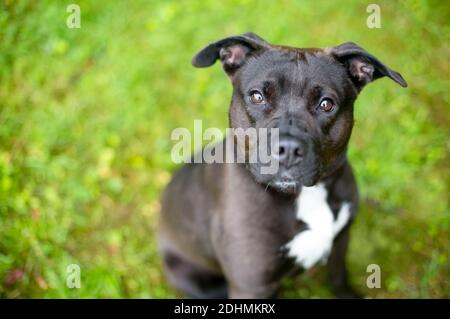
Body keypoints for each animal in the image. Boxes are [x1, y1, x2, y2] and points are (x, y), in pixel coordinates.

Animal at [159, 33, 408, 298]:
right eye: (257, 96)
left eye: (326, 104)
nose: (288, 148)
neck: (306, 195)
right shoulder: (251, 285)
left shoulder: (340, 242)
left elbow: (338, 278)